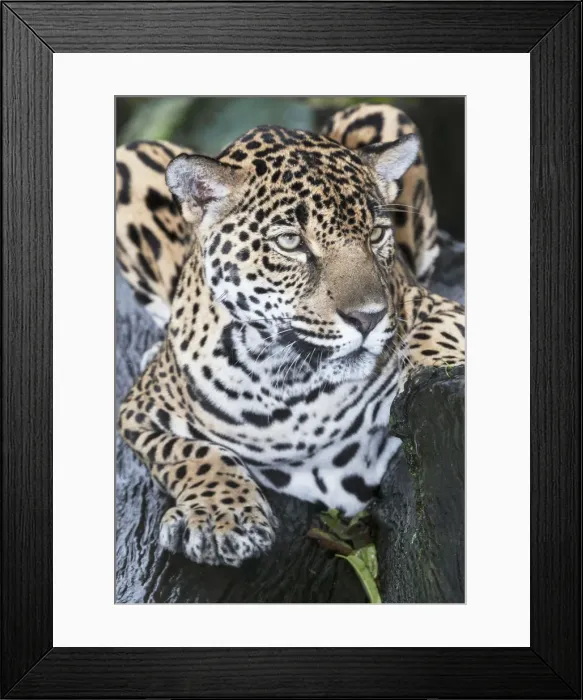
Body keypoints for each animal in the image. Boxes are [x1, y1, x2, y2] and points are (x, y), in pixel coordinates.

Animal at [116, 102, 465, 567]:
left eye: (375, 234)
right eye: (289, 242)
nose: (369, 318)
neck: (286, 376)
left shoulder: (435, 306)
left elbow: (438, 335)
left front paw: (432, 369)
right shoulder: (139, 410)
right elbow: (192, 452)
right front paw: (220, 516)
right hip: (131, 156)